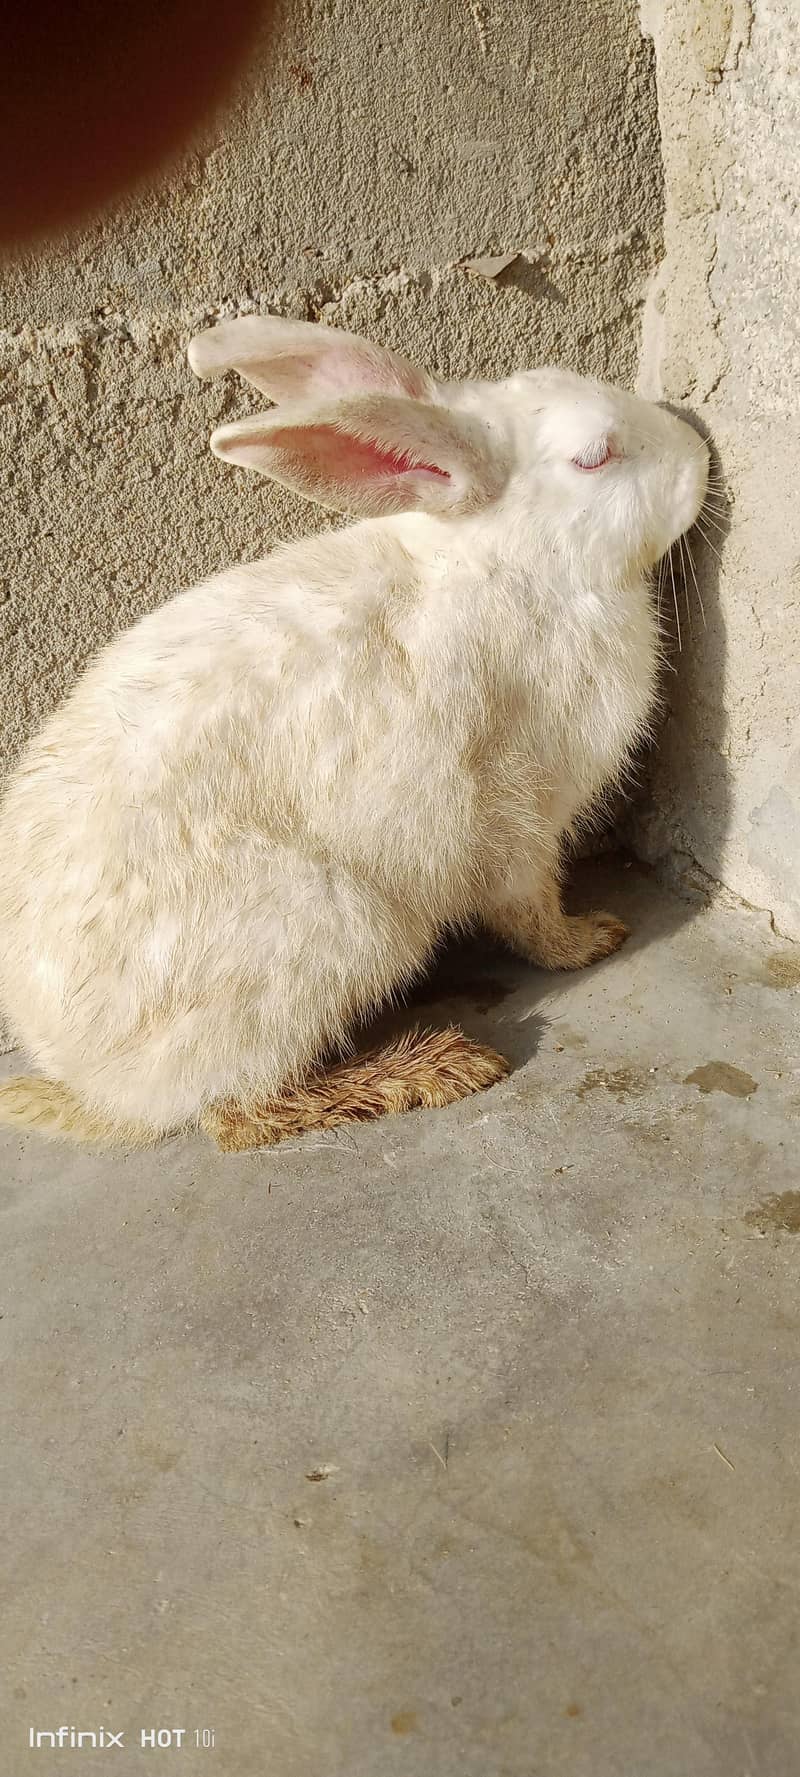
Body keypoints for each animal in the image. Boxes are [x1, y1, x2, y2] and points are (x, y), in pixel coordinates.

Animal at [0, 316, 709, 1150]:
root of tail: (87, 1081)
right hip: (337, 930)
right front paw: (590, 938)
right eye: (595, 457)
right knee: (240, 1113)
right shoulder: (517, 815)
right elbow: (528, 907)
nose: (699, 454)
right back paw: (436, 1067)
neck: (519, 565)